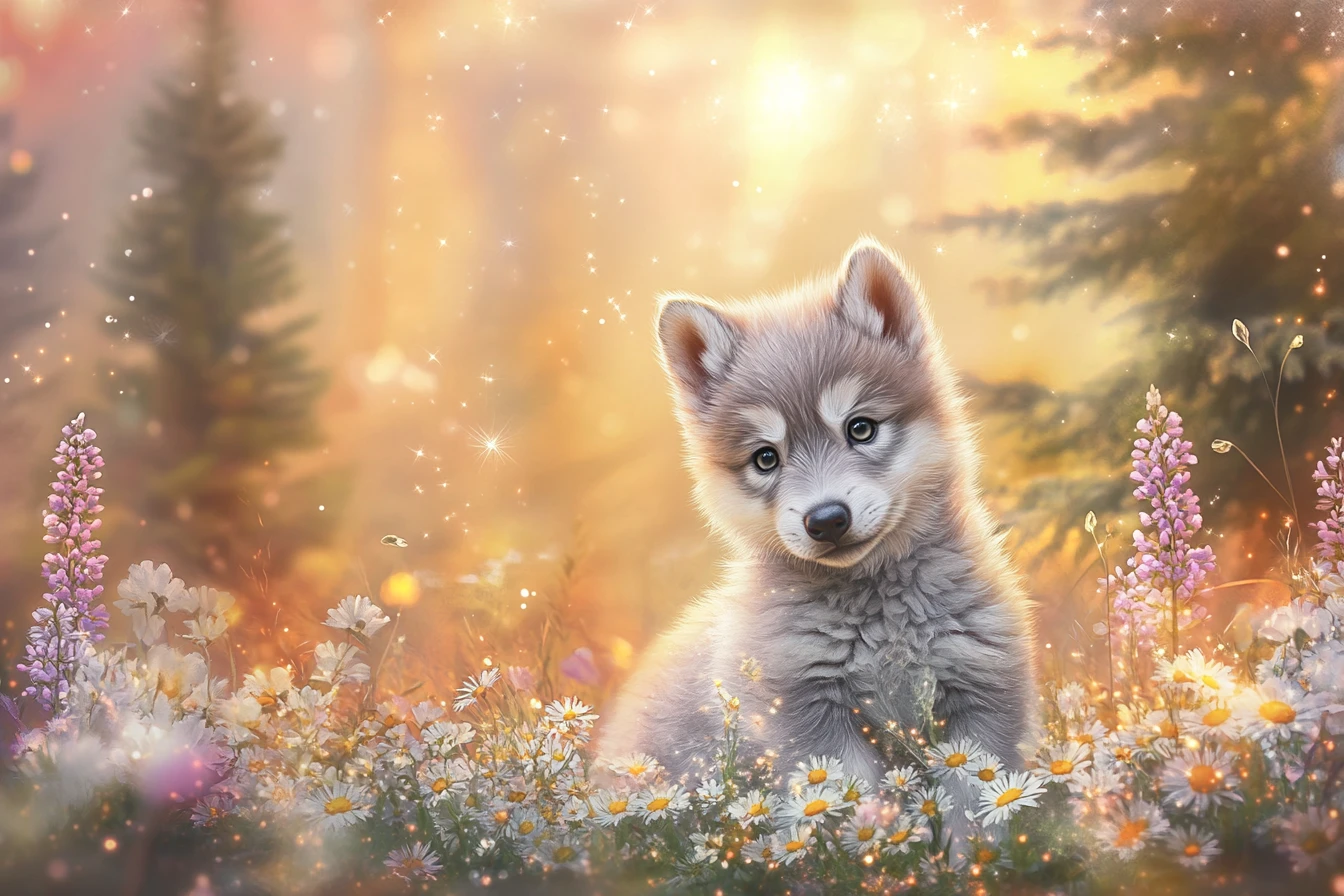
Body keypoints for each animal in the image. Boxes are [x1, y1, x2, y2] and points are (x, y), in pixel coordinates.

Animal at [600, 238, 1038, 820]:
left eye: (861, 428)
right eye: (766, 458)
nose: (826, 519)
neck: (883, 627)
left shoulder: (980, 696)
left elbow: (974, 817)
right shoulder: (809, 714)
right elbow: (852, 805)